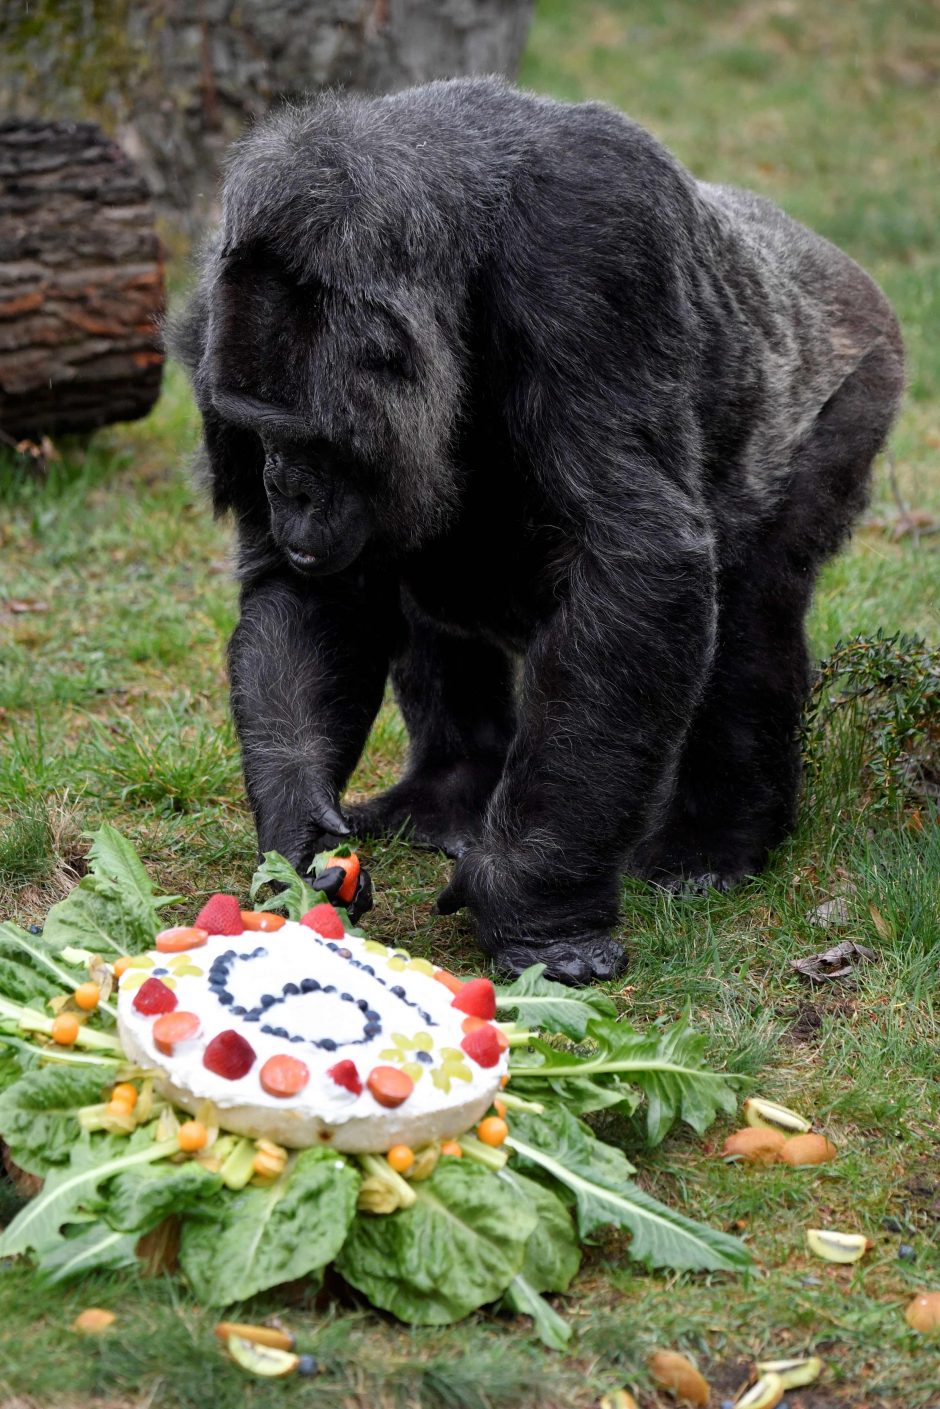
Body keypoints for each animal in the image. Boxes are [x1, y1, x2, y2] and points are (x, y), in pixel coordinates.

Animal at [172, 74, 907, 980]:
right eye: (254, 432)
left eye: (307, 440)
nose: (289, 493)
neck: (457, 251)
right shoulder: (214, 323)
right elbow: (313, 592)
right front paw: (298, 840)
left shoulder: (592, 253)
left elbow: (637, 558)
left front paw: (534, 905)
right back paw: (446, 797)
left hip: (857, 374)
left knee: (753, 613)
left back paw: (714, 842)